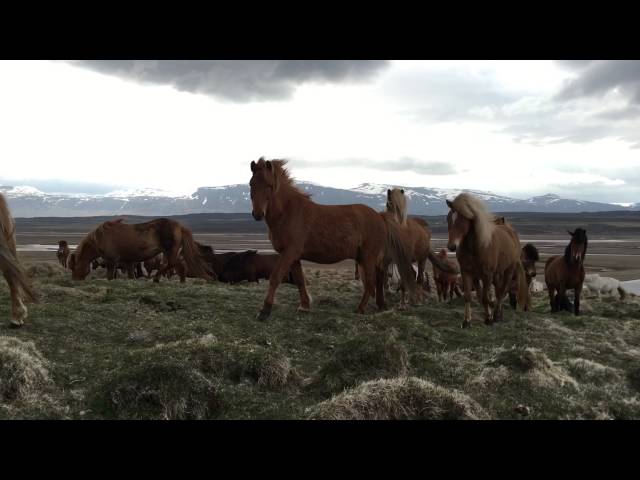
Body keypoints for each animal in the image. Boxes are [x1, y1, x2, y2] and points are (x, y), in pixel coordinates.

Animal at [70, 217, 211, 282]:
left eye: (74, 267)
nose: (75, 280)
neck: (101, 237)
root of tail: (179, 226)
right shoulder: (128, 262)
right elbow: (131, 275)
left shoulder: (112, 260)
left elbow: (110, 276)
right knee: (174, 265)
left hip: (170, 251)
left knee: (175, 265)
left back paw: (159, 279)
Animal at [248, 158, 418, 322]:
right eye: (251, 184)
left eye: (269, 185)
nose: (257, 214)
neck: (288, 213)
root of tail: (380, 216)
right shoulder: (294, 257)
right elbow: (300, 280)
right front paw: (304, 306)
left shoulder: (289, 252)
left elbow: (275, 277)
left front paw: (264, 311)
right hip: (365, 258)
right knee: (378, 278)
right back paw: (380, 304)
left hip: (368, 257)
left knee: (370, 282)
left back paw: (360, 309)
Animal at [444, 193, 528, 328]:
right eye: (448, 219)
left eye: (462, 219)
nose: (451, 246)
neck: (475, 248)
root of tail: (510, 230)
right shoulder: (467, 272)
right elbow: (471, 296)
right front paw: (467, 321)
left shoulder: (487, 275)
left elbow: (484, 297)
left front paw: (489, 318)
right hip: (497, 274)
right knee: (498, 290)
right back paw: (497, 313)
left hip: (508, 270)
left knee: (502, 291)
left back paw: (497, 315)